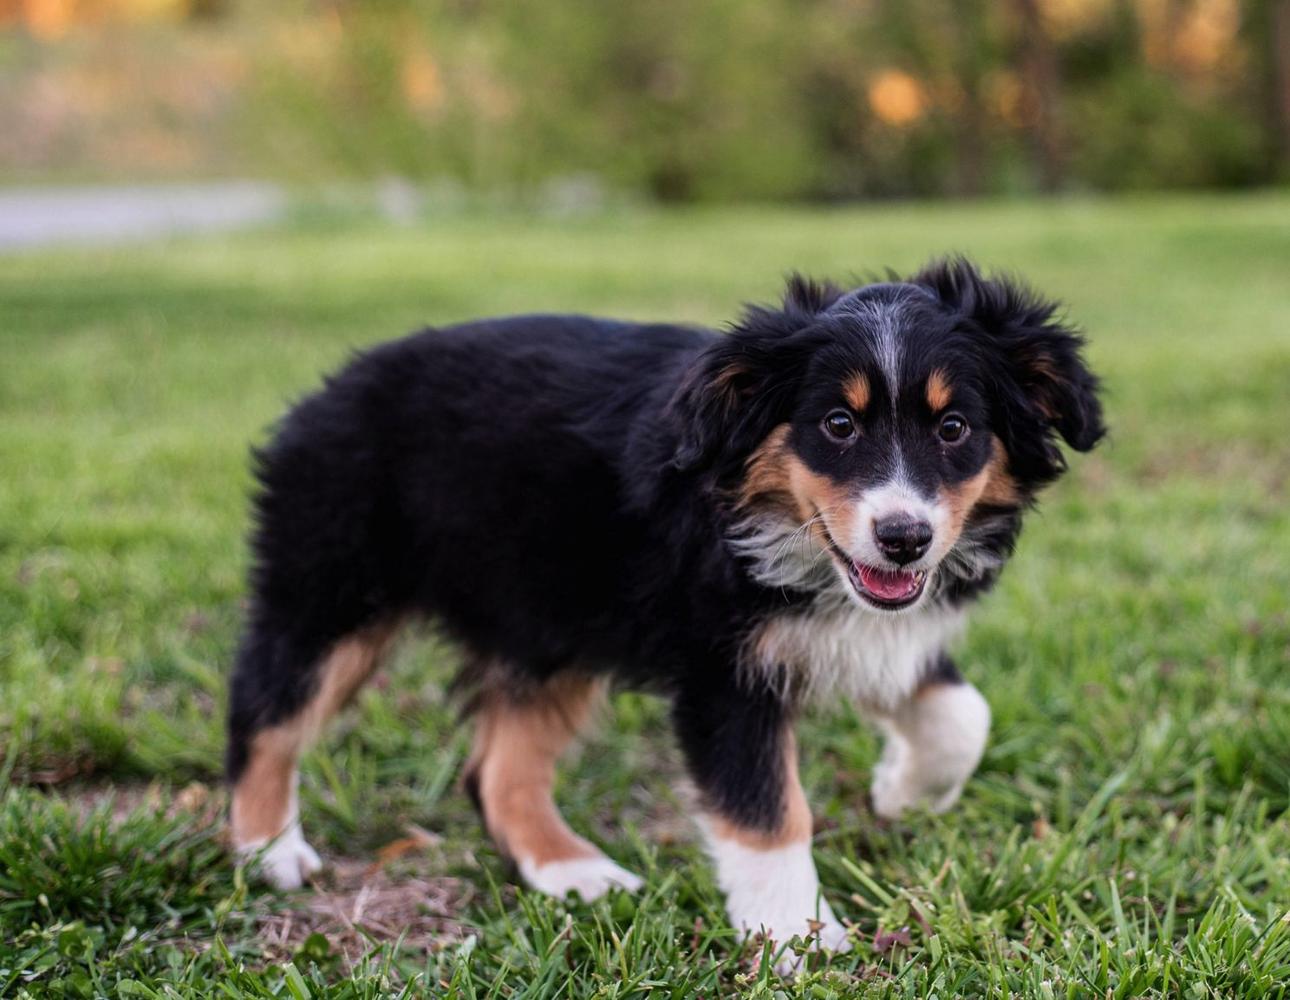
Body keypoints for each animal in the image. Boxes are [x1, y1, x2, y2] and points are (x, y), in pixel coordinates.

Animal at [227, 258, 1104, 960]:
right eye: (838, 424)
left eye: (955, 427)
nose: (903, 538)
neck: (775, 521)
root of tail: (325, 391)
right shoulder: (722, 669)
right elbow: (768, 812)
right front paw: (799, 942)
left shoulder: (871, 628)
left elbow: (962, 715)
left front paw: (903, 794)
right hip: (333, 581)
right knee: (264, 709)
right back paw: (268, 851)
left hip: (549, 621)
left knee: (497, 771)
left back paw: (574, 873)